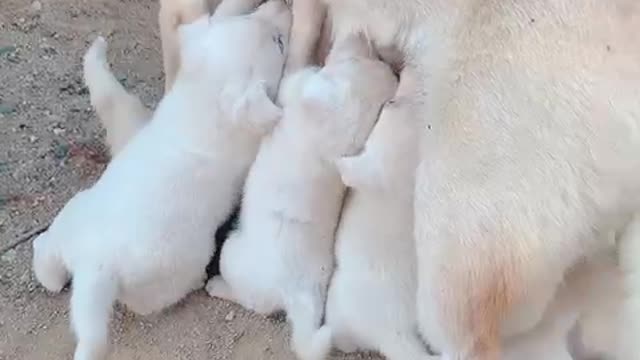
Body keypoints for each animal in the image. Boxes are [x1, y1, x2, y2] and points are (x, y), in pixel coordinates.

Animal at [30, 2, 290, 358]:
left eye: (255, 18)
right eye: (279, 43)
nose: (280, 6)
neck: (202, 95)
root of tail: (95, 262)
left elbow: (218, 14)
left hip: (70, 220)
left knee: (44, 253)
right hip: (173, 271)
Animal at [206, 33, 396, 360]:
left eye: (351, 60)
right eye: (368, 59)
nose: (359, 35)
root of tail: (296, 293)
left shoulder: (295, 86)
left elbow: (293, 70)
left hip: (231, 252)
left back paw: (215, 285)